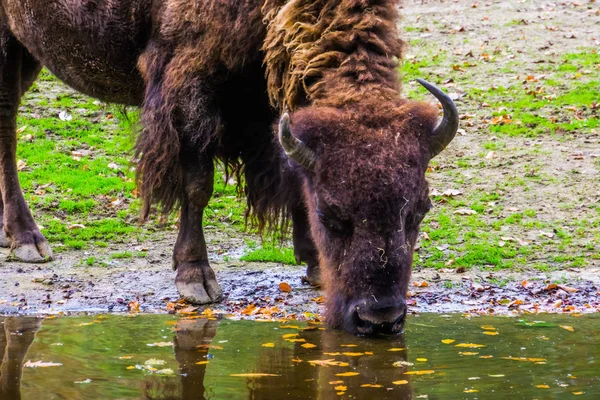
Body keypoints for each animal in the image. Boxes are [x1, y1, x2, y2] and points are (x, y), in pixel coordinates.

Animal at [0, 0, 458, 336]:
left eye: (420, 212)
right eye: (330, 214)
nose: (379, 319)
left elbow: (293, 169)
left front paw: (312, 263)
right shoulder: (191, 90)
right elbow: (197, 185)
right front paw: (195, 278)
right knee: (8, 125)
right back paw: (28, 240)